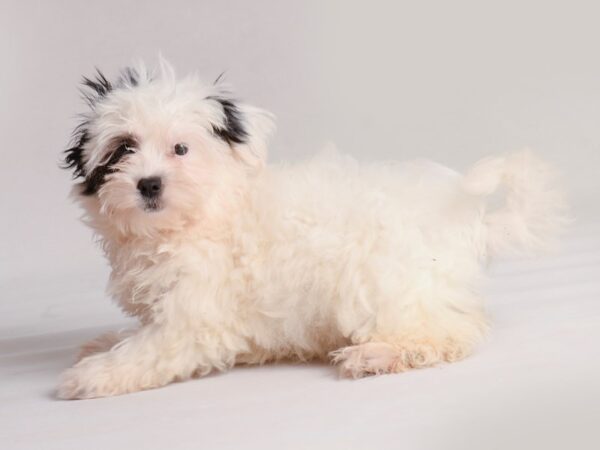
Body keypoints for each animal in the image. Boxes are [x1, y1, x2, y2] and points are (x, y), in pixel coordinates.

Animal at [57, 59, 568, 398]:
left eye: (180, 149)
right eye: (124, 149)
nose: (148, 184)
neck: (206, 211)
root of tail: (467, 216)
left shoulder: (194, 316)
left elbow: (154, 349)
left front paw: (95, 374)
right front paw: (106, 343)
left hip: (388, 283)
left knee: (446, 335)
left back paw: (376, 355)